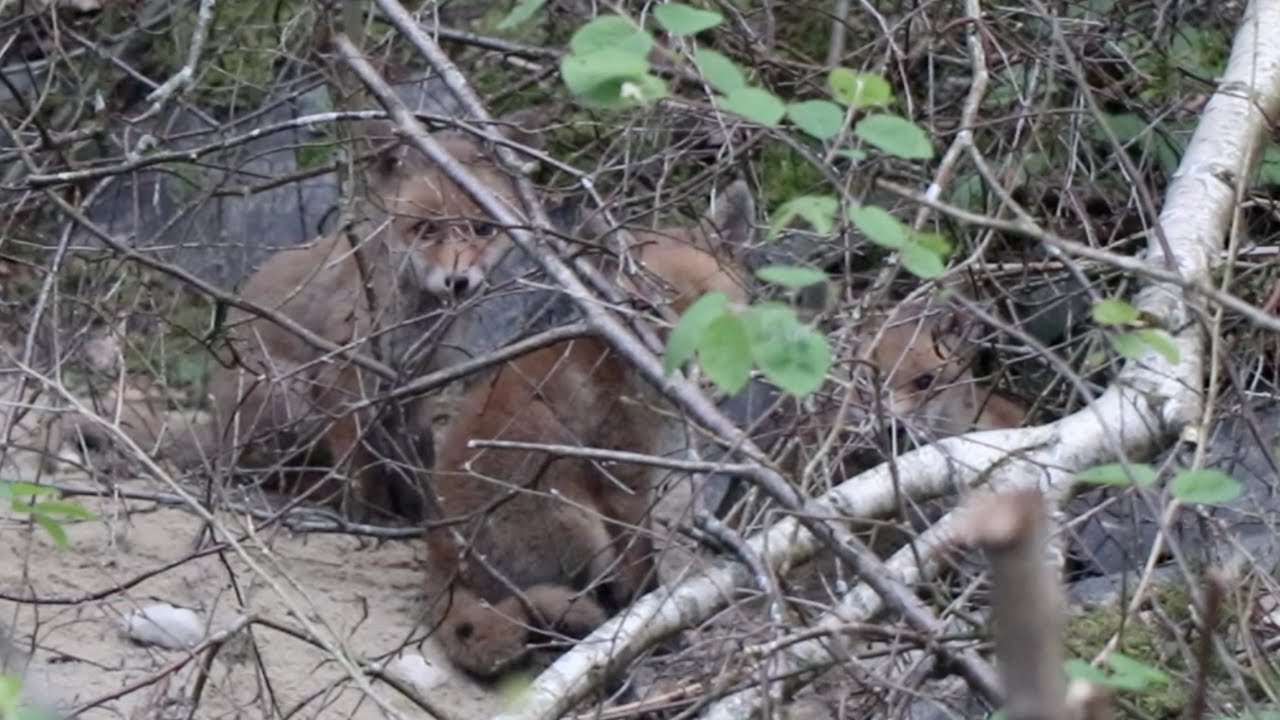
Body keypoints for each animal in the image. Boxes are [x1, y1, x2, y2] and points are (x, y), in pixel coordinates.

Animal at [208, 120, 537, 522]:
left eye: (483, 230)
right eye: (426, 229)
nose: (458, 282)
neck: (415, 320)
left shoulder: (418, 386)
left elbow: (419, 460)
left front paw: (420, 513)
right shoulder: (344, 379)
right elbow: (358, 468)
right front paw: (364, 517)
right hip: (288, 391)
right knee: (268, 472)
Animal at [423, 180, 756, 679]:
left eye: (713, 308)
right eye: (644, 308)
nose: (694, 374)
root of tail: (439, 558)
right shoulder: (623, 485)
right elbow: (643, 577)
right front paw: (657, 635)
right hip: (579, 522)